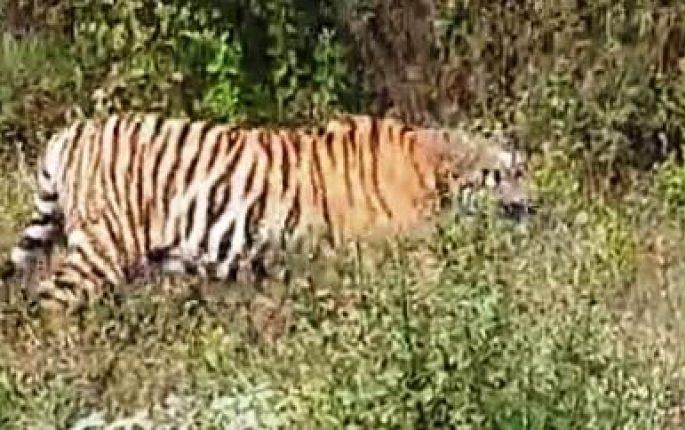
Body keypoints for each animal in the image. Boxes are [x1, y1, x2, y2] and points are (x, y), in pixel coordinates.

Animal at [2, 113, 534, 315]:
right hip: (102, 247)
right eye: (504, 173)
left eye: (521, 169)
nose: (533, 204)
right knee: (50, 301)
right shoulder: (397, 257)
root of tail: (71, 131)